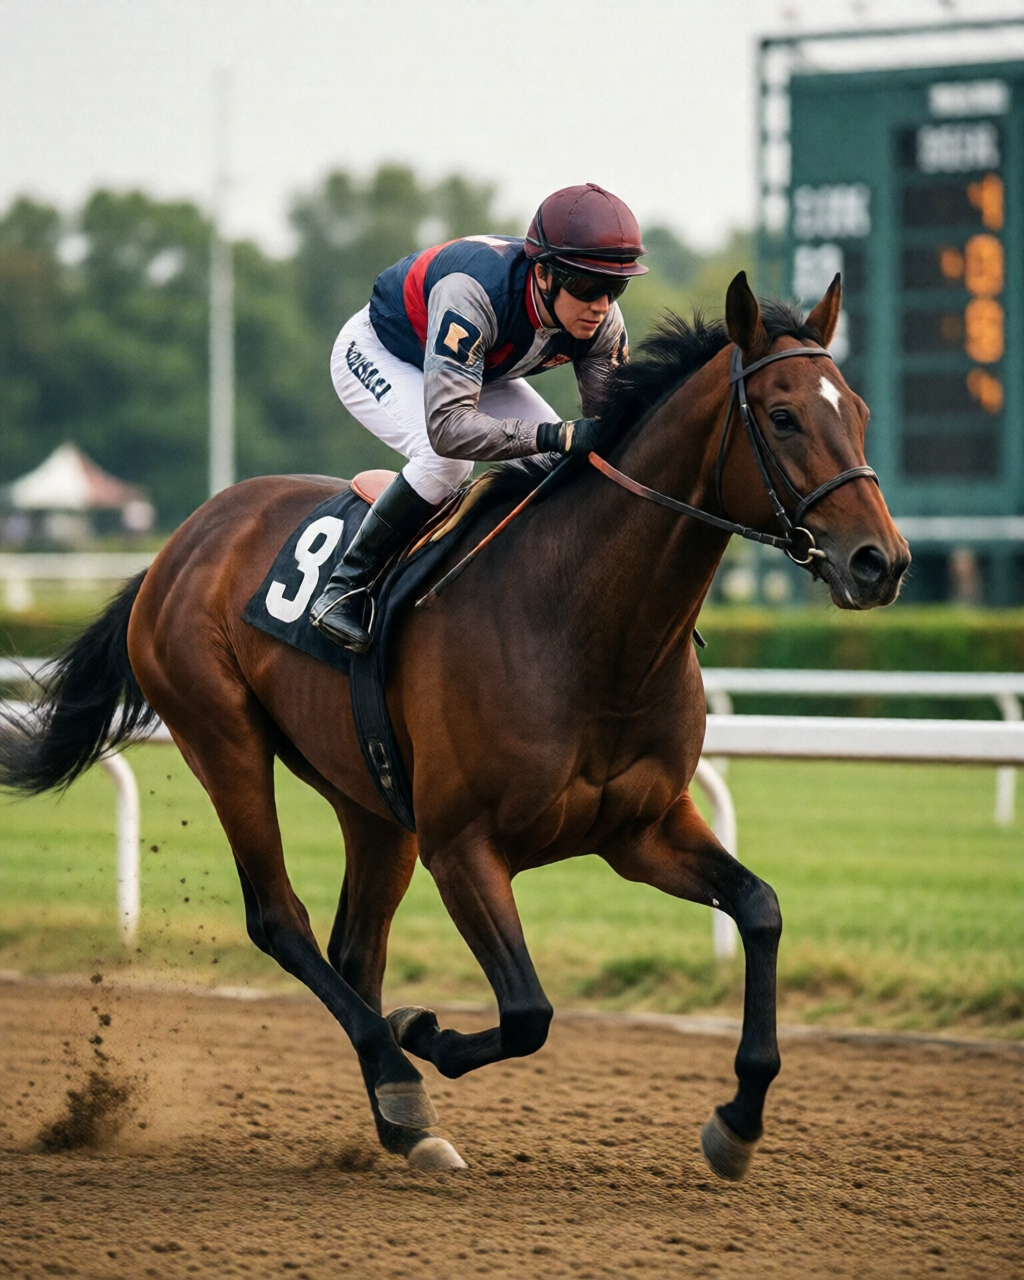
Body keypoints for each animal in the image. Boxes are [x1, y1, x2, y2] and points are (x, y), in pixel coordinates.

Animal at [0, 272, 909, 1179]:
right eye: (784, 416)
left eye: (861, 410)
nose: (883, 562)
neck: (585, 626)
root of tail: (179, 544)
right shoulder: (462, 844)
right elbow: (529, 1011)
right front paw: (422, 1031)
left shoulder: (640, 829)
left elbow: (760, 908)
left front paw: (738, 1119)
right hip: (223, 739)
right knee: (280, 919)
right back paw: (399, 1081)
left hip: (370, 799)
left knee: (354, 946)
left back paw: (397, 1115)